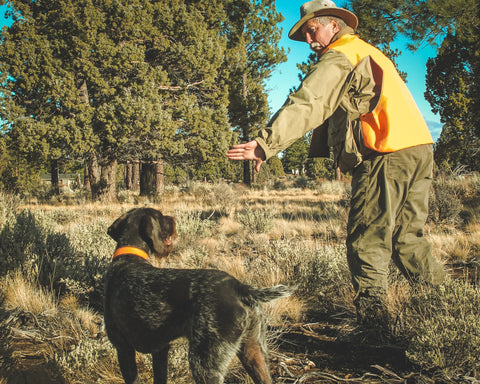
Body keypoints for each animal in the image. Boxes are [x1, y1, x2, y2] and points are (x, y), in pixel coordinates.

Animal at [105, 208, 292, 382]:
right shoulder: (159, 350)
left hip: (205, 361)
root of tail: (240, 287)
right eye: (161, 217)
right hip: (254, 352)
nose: (173, 219)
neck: (129, 257)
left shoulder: (123, 348)